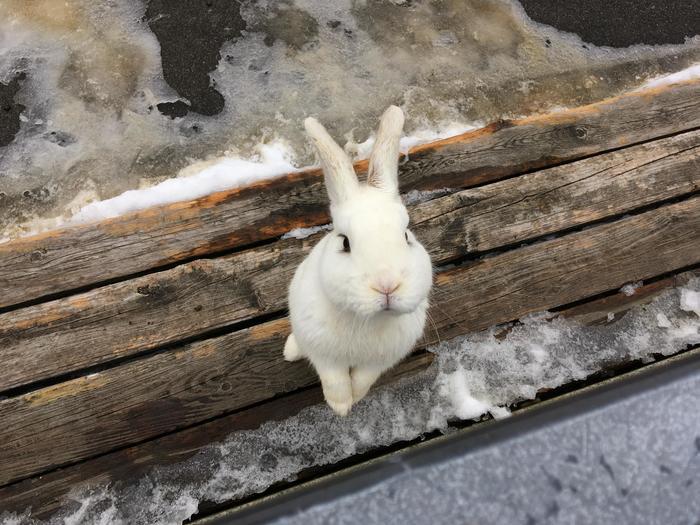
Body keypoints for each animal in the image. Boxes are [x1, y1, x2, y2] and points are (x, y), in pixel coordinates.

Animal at [284, 106, 432, 416]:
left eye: (406, 235)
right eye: (345, 242)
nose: (387, 285)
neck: (367, 320)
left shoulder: (379, 361)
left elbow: (363, 379)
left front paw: (356, 397)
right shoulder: (324, 355)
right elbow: (335, 381)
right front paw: (340, 407)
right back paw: (290, 351)